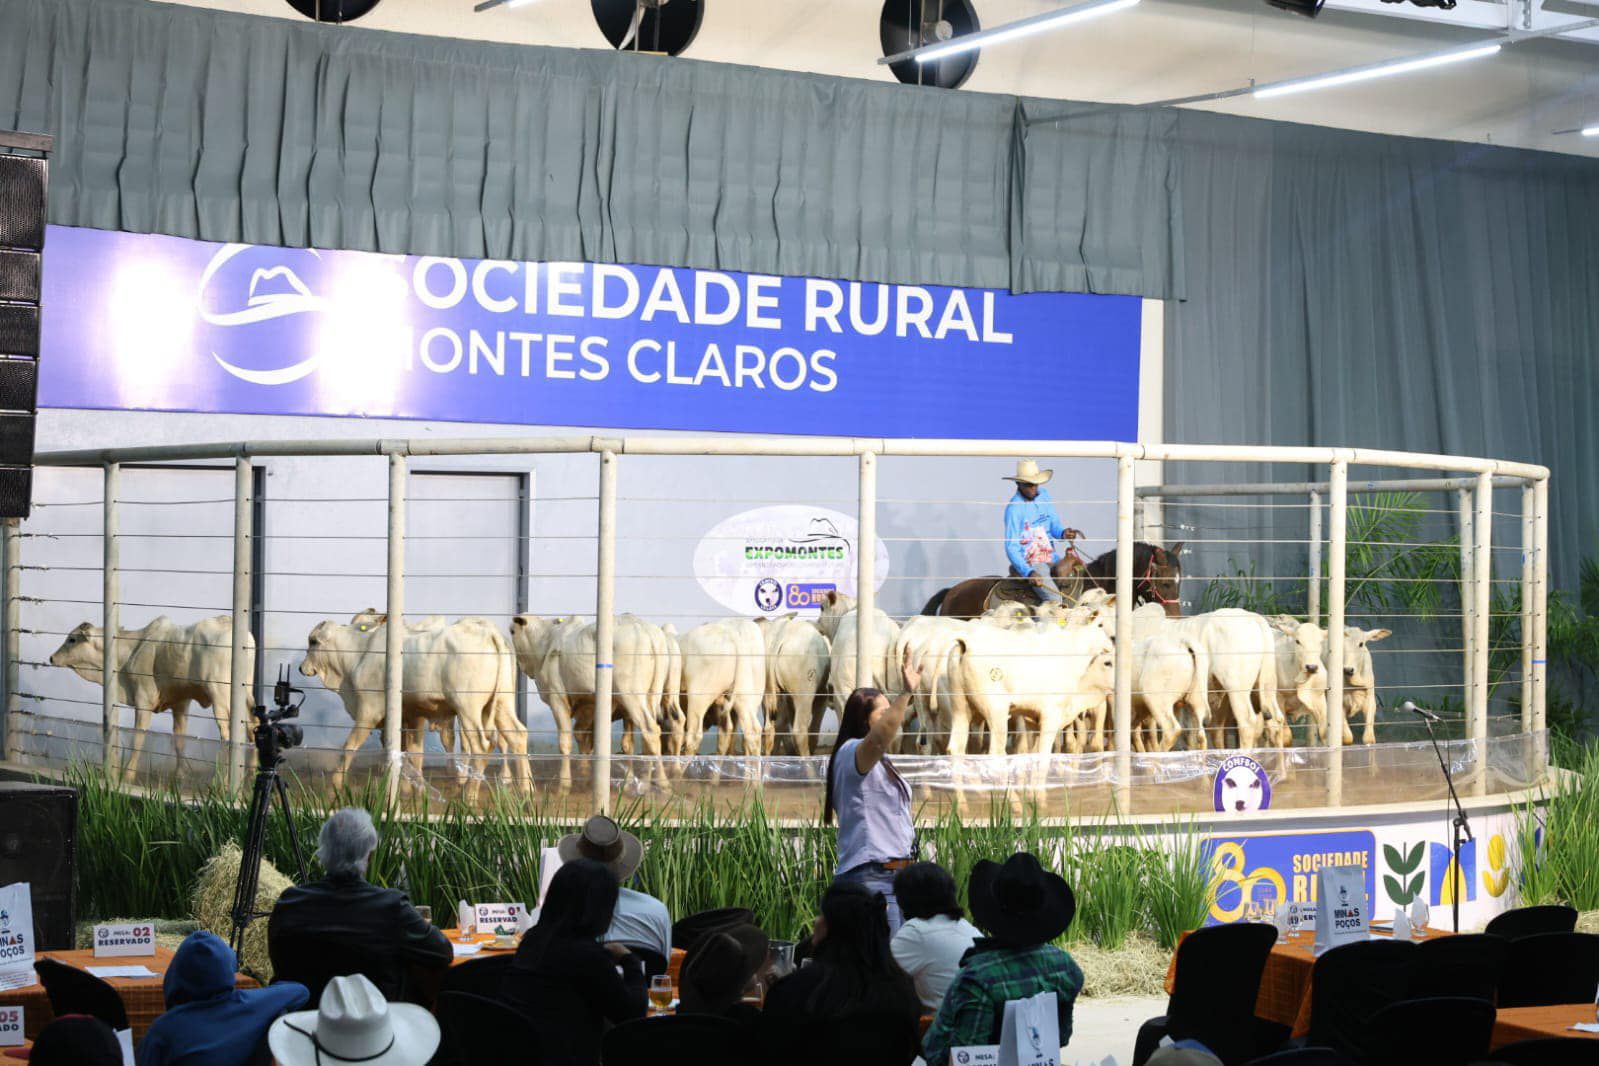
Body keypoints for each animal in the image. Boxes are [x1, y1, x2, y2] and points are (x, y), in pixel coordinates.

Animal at [49, 615, 255, 782]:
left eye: (72, 639)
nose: (51, 658)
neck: (130, 652)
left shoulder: (143, 700)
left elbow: (138, 738)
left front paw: (128, 774)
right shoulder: (180, 703)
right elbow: (179, 739)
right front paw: (180, 774)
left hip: (220, 697)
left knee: (228, 736)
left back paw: (223, 781)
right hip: (246, 694)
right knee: (253, 726)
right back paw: (249, 777)